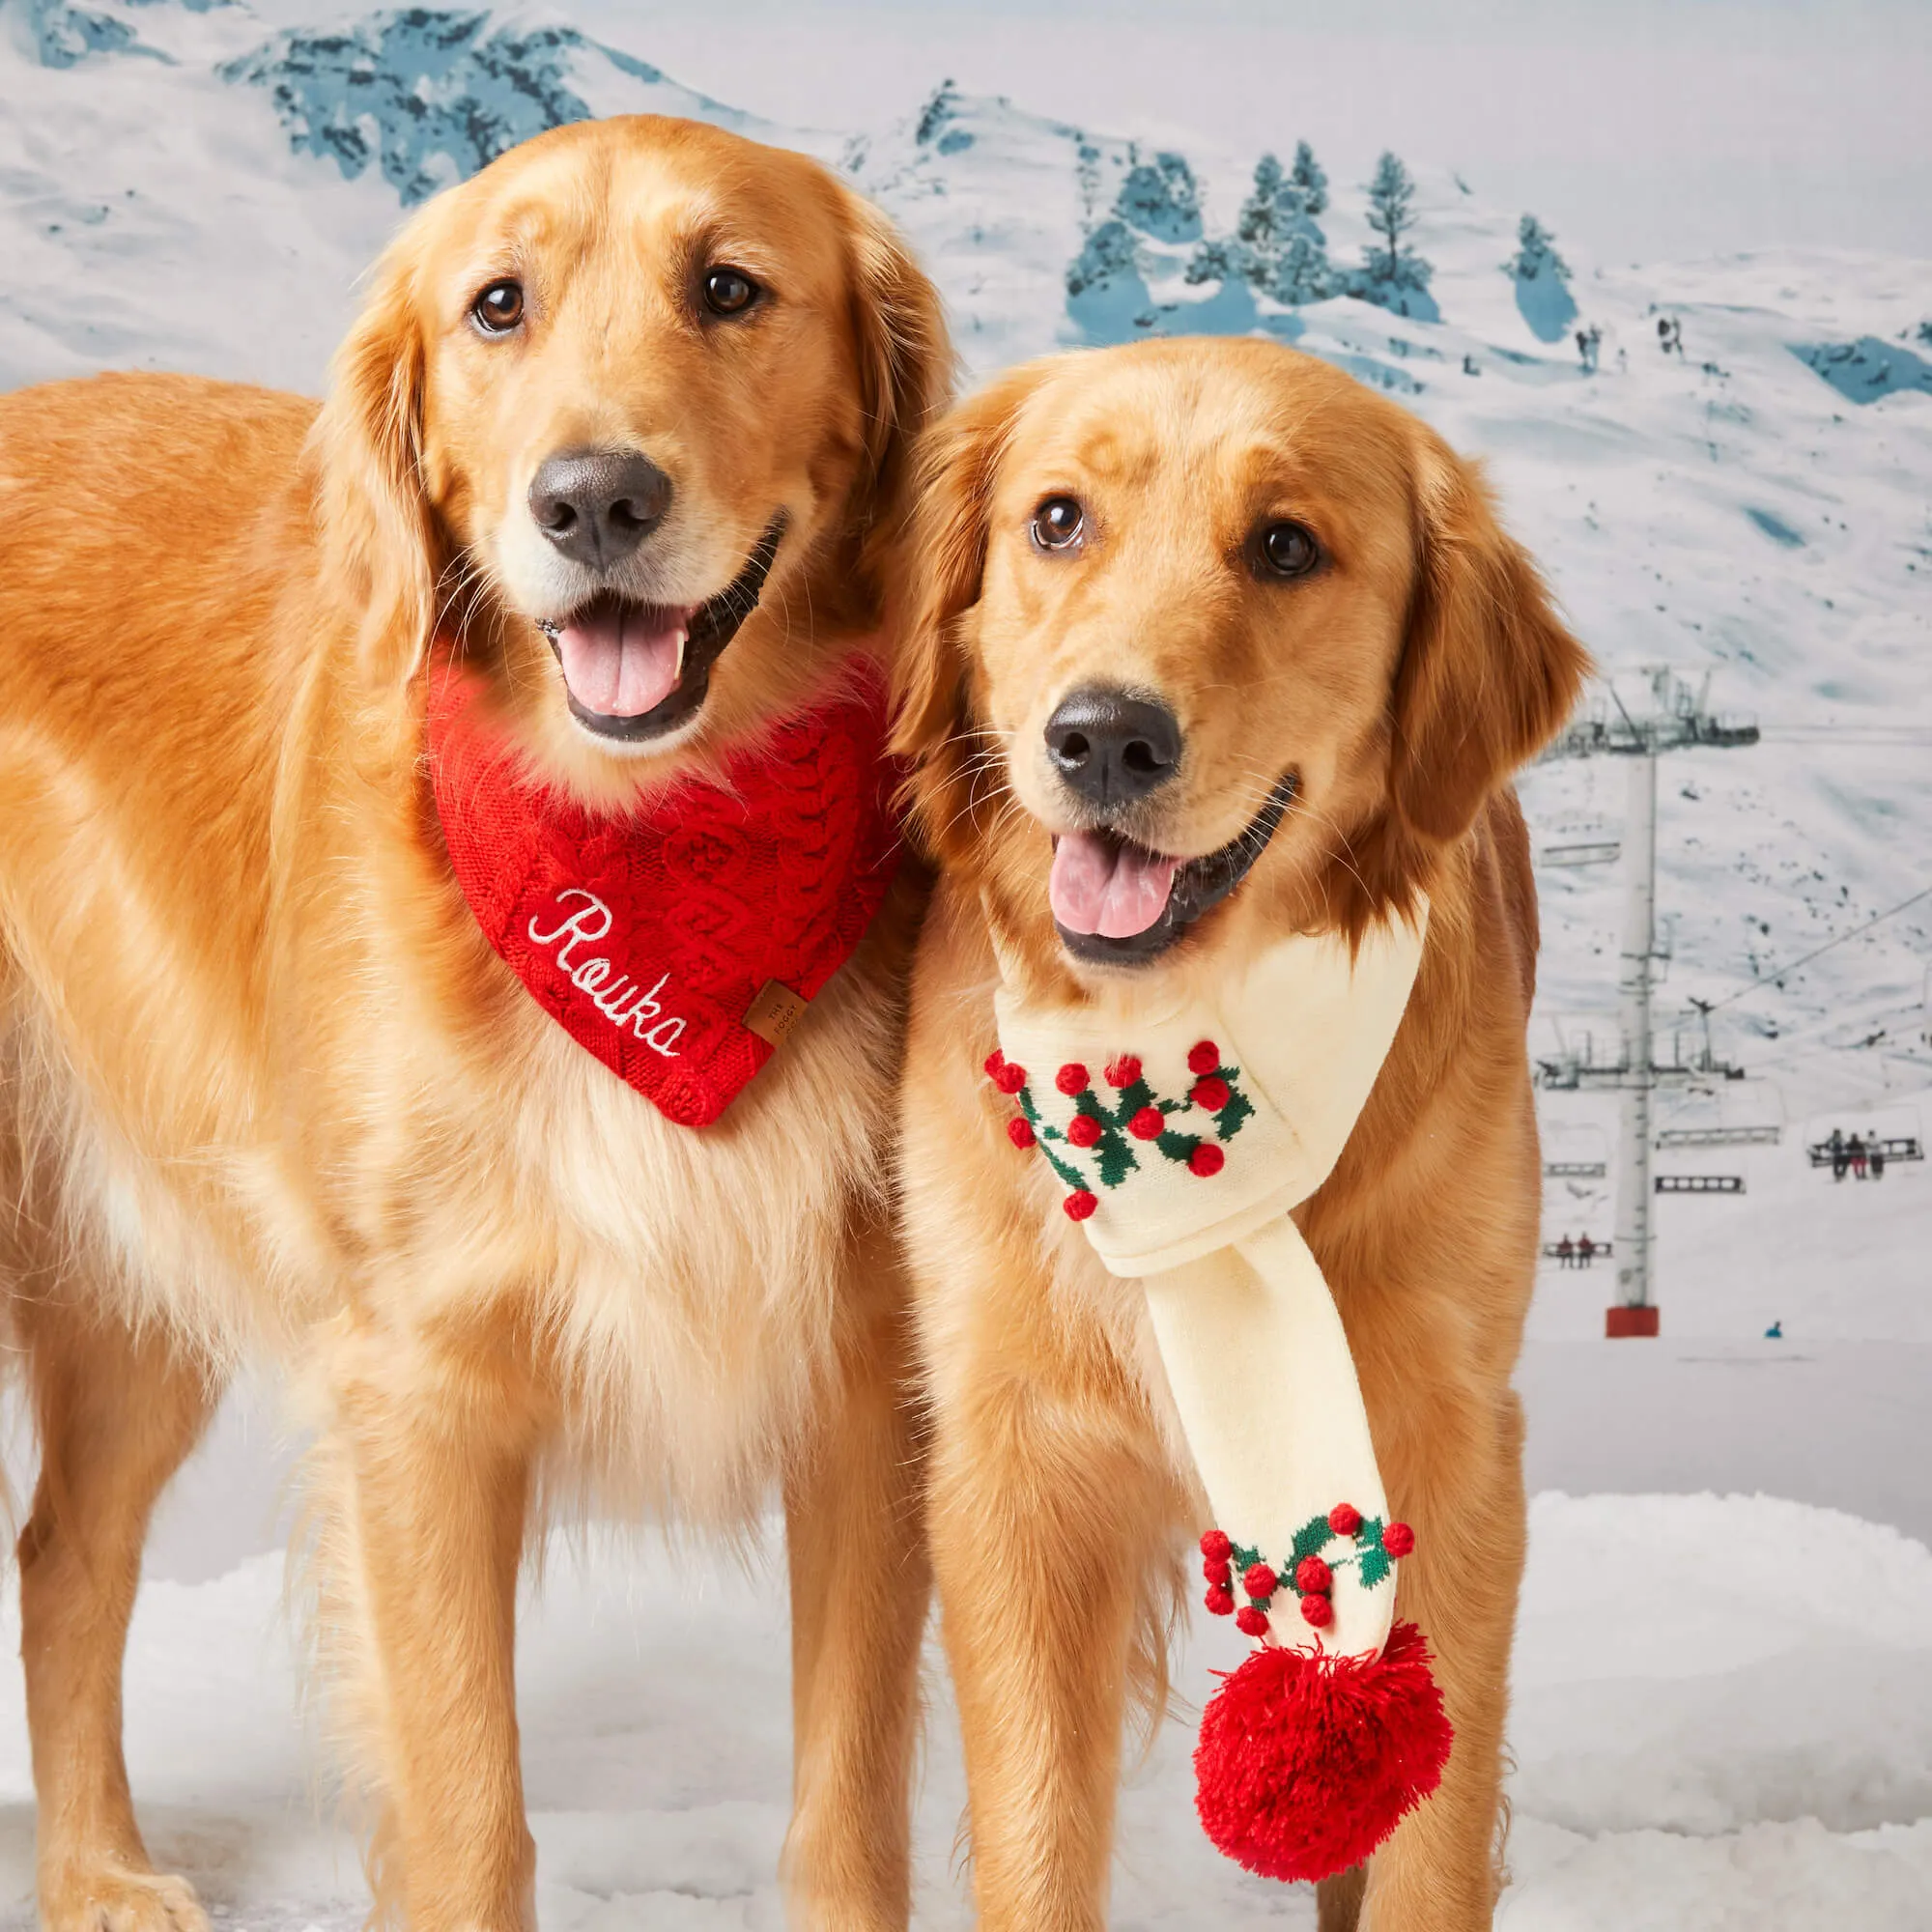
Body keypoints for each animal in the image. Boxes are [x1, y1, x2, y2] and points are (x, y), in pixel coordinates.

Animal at [0, 117, 951, 1932]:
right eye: (496, 304)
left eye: (731, 288)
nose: (593, 499)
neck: (652, 851)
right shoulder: (424, 1391)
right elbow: (464, 1814)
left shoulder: (865, 1381)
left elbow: (849, 1814)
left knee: (64, 1552)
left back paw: (96, 1870)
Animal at [889, 340, 1584, 1932]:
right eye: (1057, 519)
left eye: (1284, 547)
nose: (1103, 736)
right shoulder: (1008, 1461)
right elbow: (1036, 1833)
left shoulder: (1450, 1451)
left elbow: (1427, 1841)